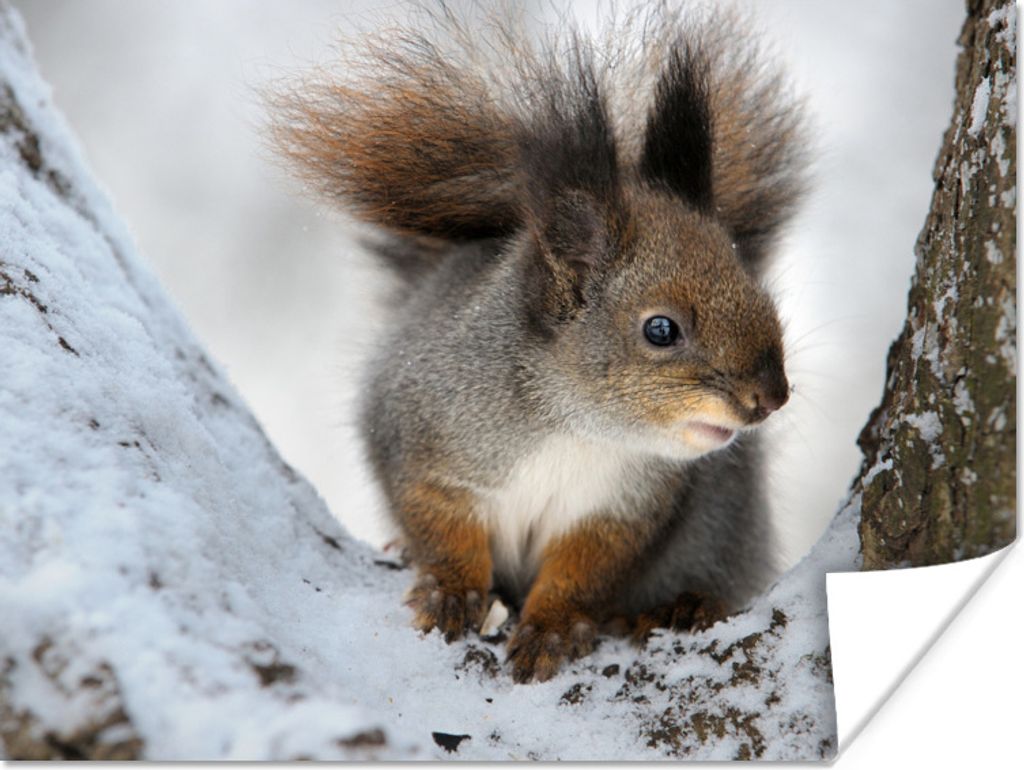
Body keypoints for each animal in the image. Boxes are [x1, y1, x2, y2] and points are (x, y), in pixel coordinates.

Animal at [270, 2, 807, 683]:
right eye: (660, 329)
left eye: (757, 290)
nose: (771, 396)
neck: (574, 428)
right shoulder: (420, 433)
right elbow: (436, 521)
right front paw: (450, 590)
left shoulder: (622, 511)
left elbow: (583, 572)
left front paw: (552, 627)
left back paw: (677, 608)